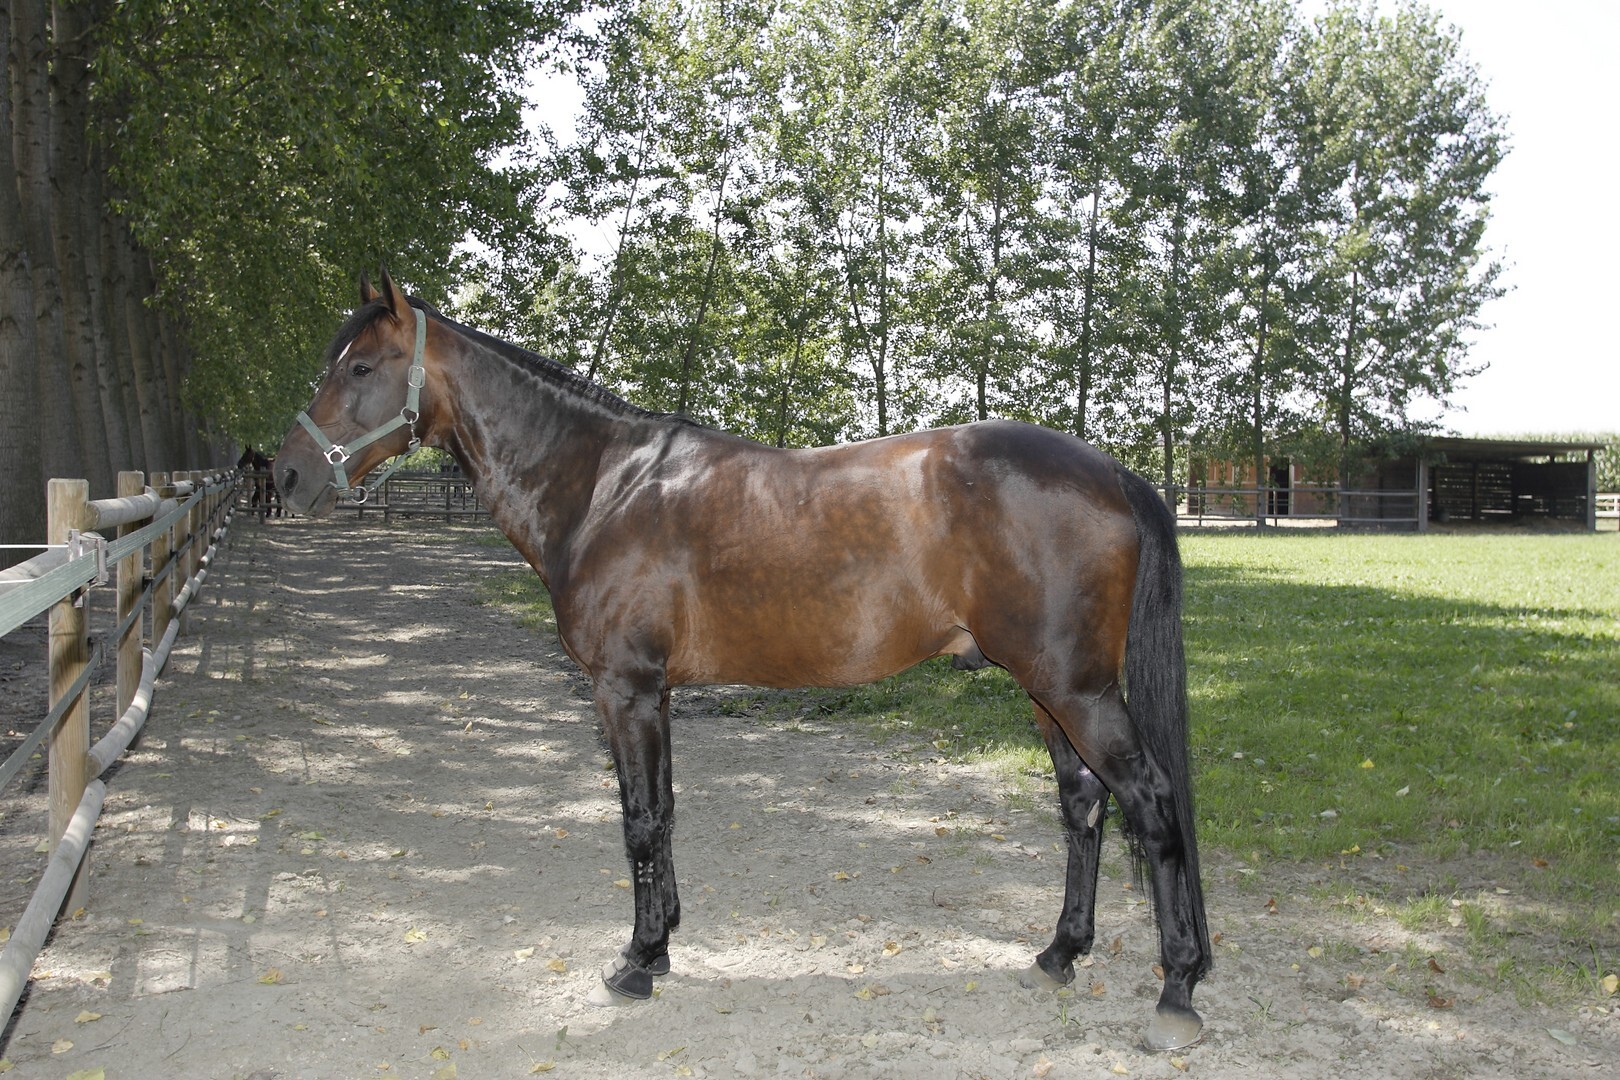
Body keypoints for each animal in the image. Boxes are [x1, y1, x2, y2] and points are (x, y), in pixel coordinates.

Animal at [274, 270, 1212, 1050]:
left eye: (360, 367)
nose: (284, 477)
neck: (604, 487)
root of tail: (1112, 470)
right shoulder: (649, 695)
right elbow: (659, 812)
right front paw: (660, 944)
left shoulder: (625, 691)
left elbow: (638, 821)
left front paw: (635, 961)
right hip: (1050, 695)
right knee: (1083, 805)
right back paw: (1061, 952)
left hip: (1076, 691)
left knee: (1152, 803)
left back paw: (1176, 991)